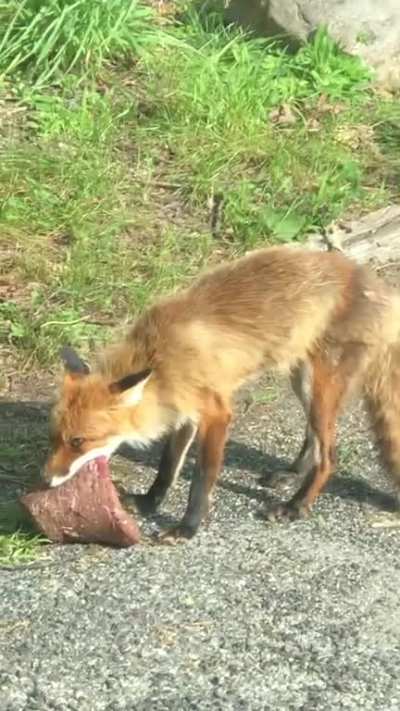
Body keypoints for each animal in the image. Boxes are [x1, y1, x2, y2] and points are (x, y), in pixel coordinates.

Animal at [44, 245, 400, 542]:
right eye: (55, 437)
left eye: (79, 441)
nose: (45, 480)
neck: (160, 356)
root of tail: (378, 284)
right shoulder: (184, 411)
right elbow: (168, 466)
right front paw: (149, 502)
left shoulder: (215, 412)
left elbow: (202, 479)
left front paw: (187, 528)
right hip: (303, 382)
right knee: (314, 438)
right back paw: (291, 474)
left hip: (320, 384)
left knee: (329, 457)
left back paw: (296, 506)